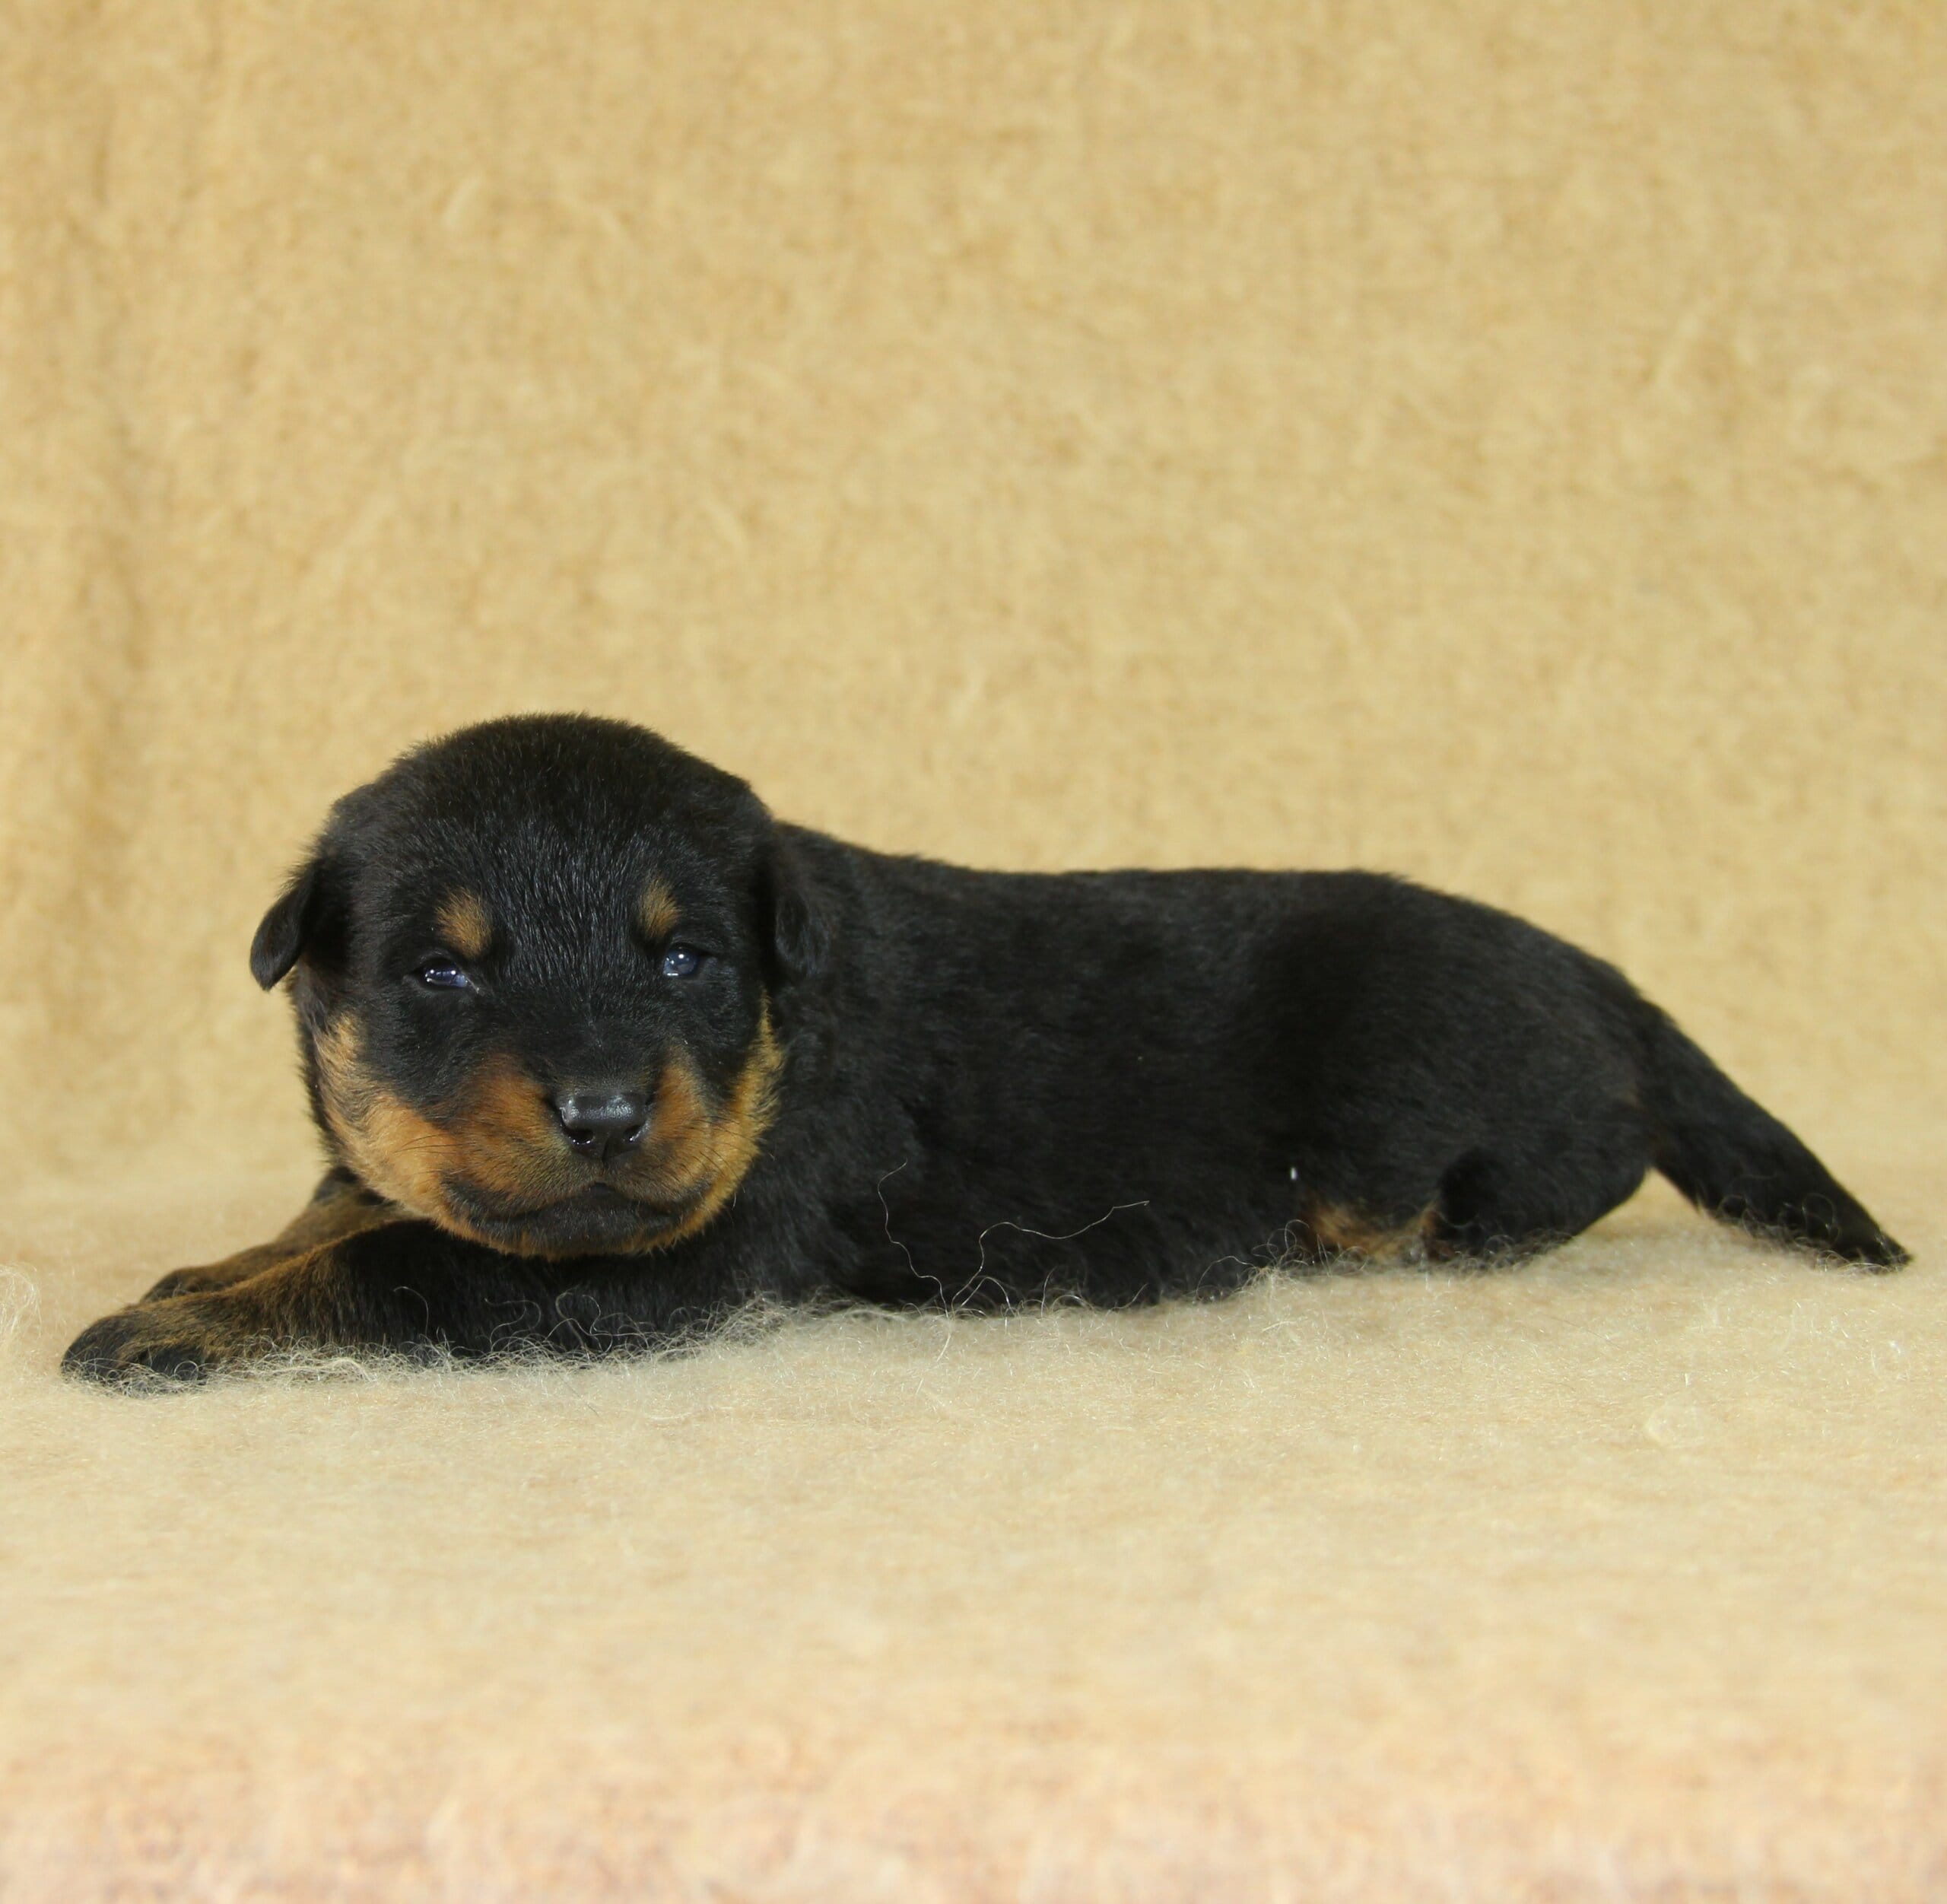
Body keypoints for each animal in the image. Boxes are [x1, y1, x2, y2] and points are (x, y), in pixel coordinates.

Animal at [64, 714, 1906, 1383]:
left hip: (1414, 1122)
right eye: (441, 976)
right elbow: (343, 1209)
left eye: (687, 957)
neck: (789, 1027)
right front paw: (200, 1273)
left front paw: (158, 1333)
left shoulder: (670, 1265)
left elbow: (391, 1266)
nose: (599, 1110)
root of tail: (1612, 985)